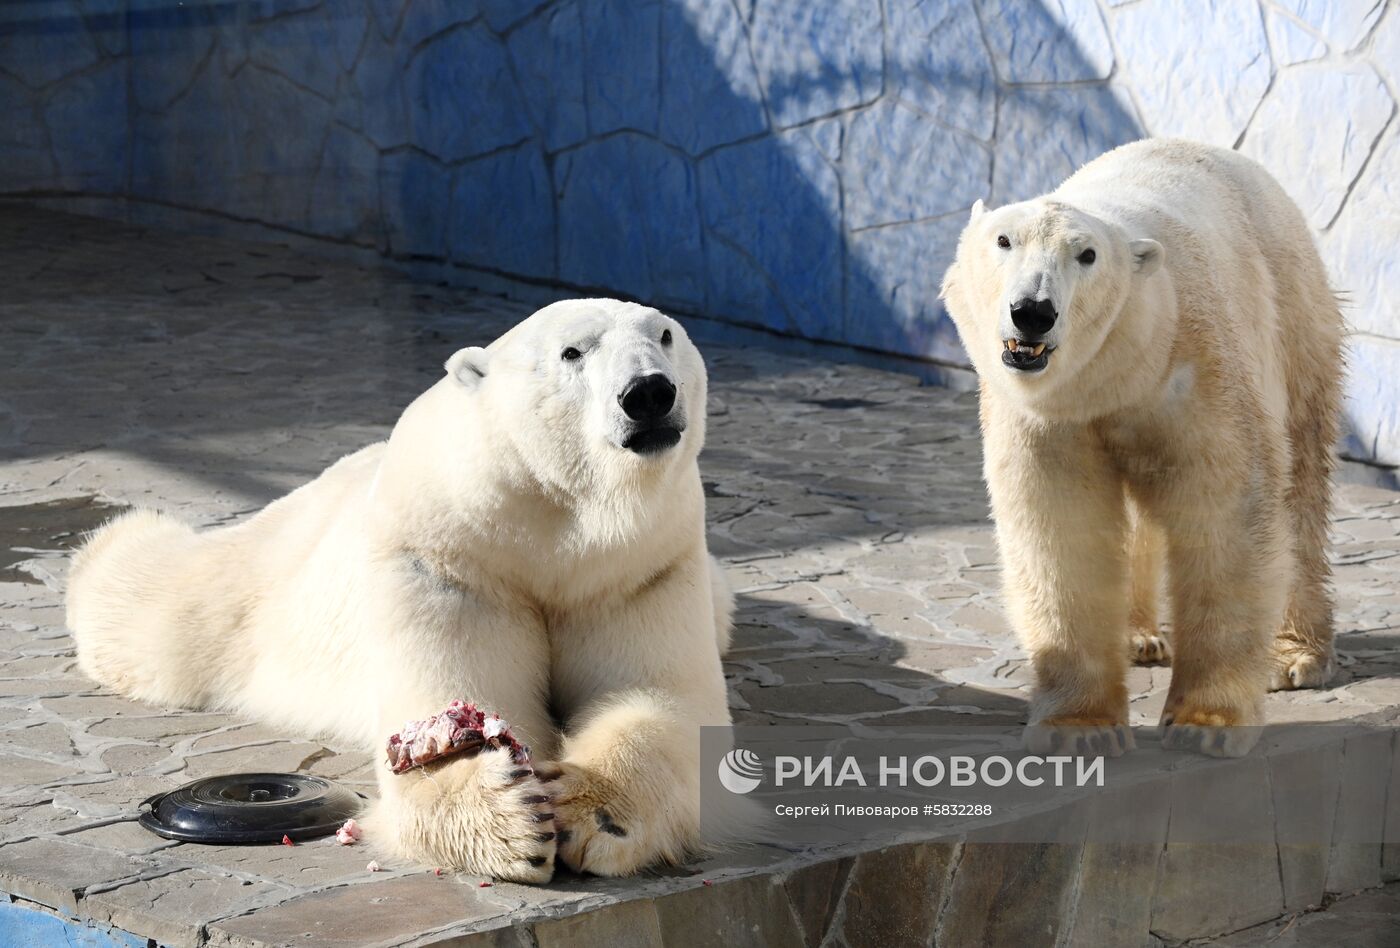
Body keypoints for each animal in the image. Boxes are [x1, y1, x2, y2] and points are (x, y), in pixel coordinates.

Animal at [66, 298, 744, 879]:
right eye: (572, 351)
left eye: (665, 334)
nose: (649, 393)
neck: (552, 528)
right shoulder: (444, 558)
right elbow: (447, 693)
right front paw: (513, 820)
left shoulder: (641, 567)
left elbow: (657, 698)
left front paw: (592, 815)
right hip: (262, 581)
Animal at [940, 138, 1344, 756]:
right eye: (1004, 240)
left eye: (1086, 255)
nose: (1033, 311)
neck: (1116, 373)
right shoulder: (1051, 420)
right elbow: (1064, 530)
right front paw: (1078, 727)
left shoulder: (1199, 370)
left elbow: (1226, 513)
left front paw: (1207, 724)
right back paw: (1137, 637)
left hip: (1293, 310)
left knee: (1299, 481)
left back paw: (1293, 655)